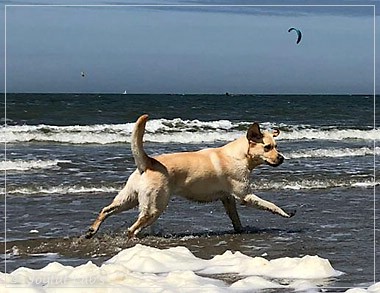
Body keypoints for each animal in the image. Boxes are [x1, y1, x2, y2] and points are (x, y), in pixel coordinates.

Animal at [85, 113, 294, 238]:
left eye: (276, 146)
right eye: (267, 147)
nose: (282, 158)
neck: (240, 156)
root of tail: (148, 162)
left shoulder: (228, 199)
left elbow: (235, 218)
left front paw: (240, 230)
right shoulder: (244, 195)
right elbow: (269, 205)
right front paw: (285, 213)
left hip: (129, 198)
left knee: (106, 210)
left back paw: (91, 230)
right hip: (154, 206)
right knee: (132, 228)